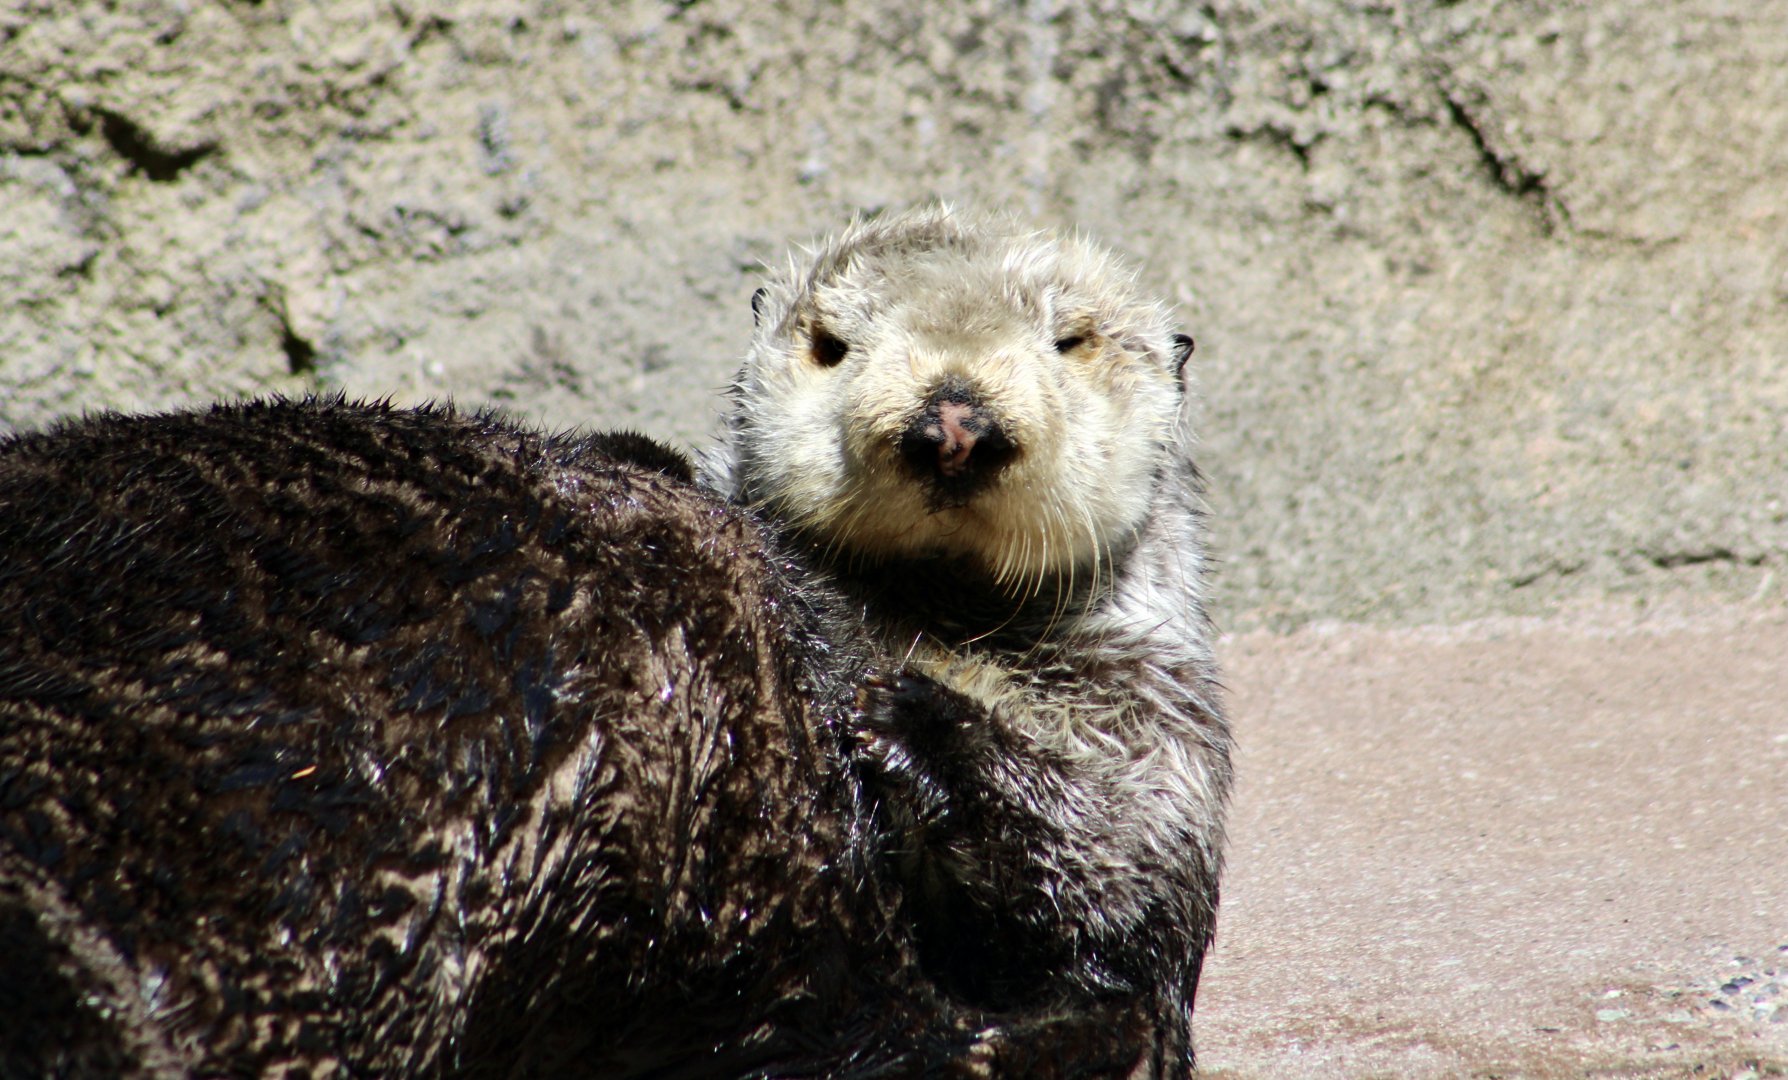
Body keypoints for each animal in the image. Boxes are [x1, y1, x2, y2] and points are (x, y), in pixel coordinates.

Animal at [705, 204, 1233, 1074]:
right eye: (831, 345)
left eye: (1072, 340)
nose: (953, 424)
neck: (946, 616)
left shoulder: (1156, 708)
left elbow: (1121, 848)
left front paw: (914, 719)